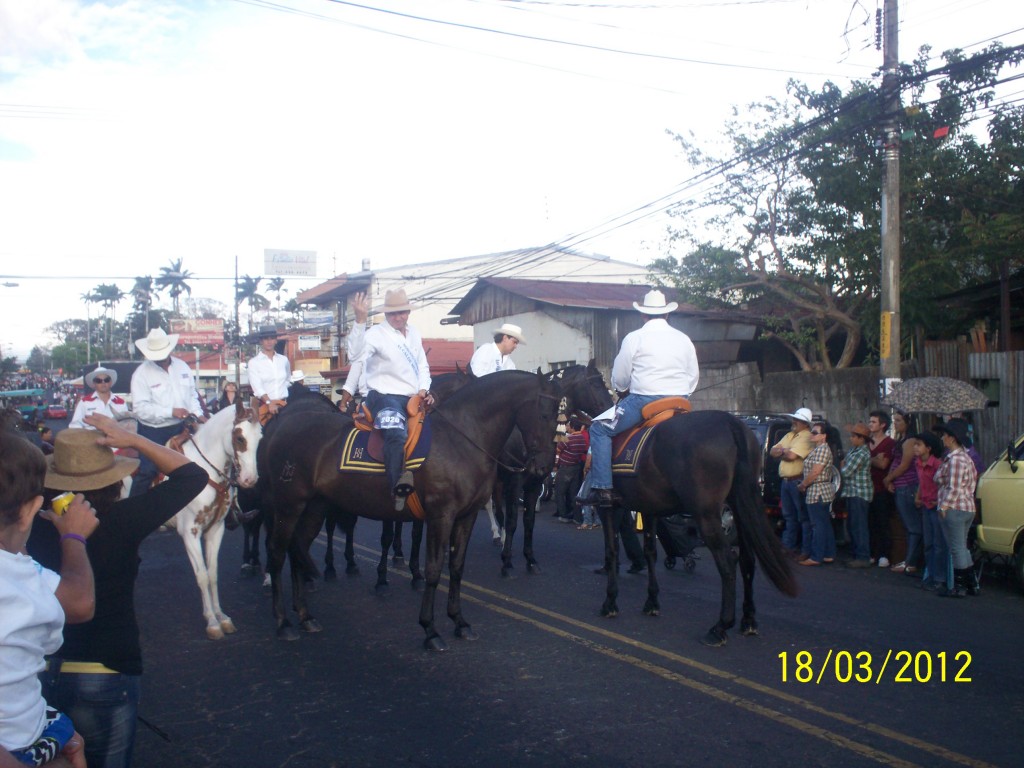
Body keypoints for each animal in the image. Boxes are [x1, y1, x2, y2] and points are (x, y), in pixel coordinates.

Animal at [167, 399, 264, 638]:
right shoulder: (190, 533)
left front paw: (221, 617)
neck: (205, 473)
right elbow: (201, 575)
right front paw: (211, 621)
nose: (249, 480)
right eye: (239, 438)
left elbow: (212, 574)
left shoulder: (215, 529)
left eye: (260, 438)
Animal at [260, 370, 557, 647]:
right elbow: (434, 569)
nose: (543, 467)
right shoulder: (441, 516)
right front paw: (430, 629)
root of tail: (280, 426)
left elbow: (456, 567)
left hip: (313, 507)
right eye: (544, 414)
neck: (460, 439)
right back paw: (283, 621)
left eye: (558, 415)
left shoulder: (466, 516)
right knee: (277, 552)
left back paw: (305, 616)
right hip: (289, 505)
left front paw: (459, 621)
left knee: (297, 548)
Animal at [598, 411, 798, 647]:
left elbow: (611, 551)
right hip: (741, 506)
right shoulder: (649, 508)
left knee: (728, 560)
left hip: (707, 514)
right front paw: (652, 601)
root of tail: (730, 422)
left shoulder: (608, 506)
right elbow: (650, 552)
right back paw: (748, 620)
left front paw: (610, 602)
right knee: (747, 559)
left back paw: (720, 627)